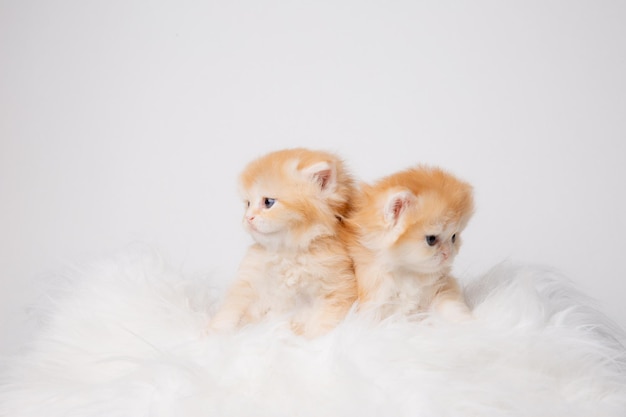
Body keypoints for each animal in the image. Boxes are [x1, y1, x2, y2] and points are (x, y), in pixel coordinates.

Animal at [208, 148, 356, 336]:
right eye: (247, 203)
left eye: (268, 202)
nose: (248, 217)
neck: (287, 253)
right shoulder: (248, 281)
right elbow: (230, 310)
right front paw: (214, 334)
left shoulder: (336, 289)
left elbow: (321, 325)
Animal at [346, 164, 472, 320]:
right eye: (431, 239)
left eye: (453, 237)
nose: (448, 253)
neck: (407, 272)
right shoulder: (376, 302)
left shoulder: (441, 287)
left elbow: (452, 306)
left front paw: (469, 321)